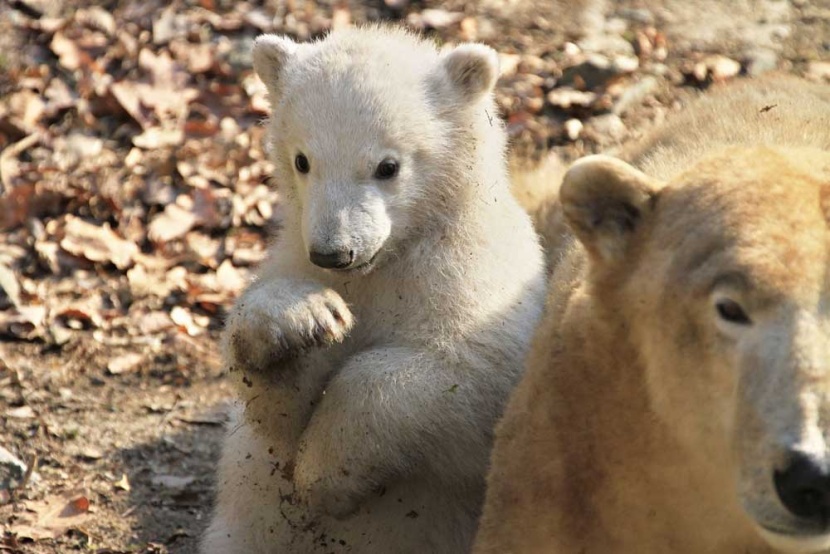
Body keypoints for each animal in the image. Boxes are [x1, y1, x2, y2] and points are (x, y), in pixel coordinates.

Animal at [204, 27, 548, 552]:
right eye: (303, 160)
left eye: (388, 166)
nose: (333, 252)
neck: (384, 264)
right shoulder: (298, 257)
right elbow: (277, 417)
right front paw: (304, 317)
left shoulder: (476, 282)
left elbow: (466, 376)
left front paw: (323, 477)